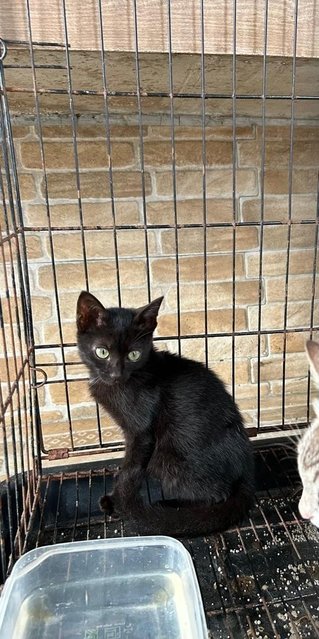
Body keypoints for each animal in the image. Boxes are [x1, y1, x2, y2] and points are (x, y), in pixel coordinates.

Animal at [77, 292, 255, 536]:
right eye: (102, 352)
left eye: (134, 354)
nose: (116, 374)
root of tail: (245, 473)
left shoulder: (141, 432)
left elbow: (131, 466)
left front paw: (116, 501)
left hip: (169, 458)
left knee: (217, 494)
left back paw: (168, 505)